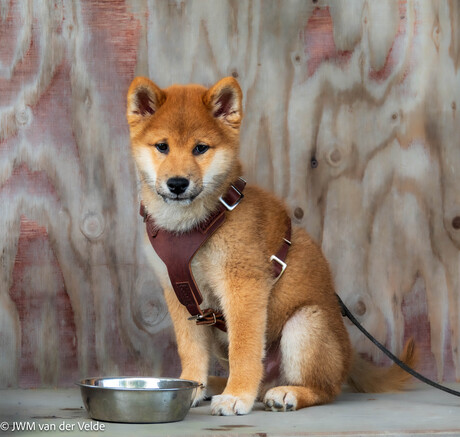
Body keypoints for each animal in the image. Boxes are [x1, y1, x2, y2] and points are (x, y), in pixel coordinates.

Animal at [126, 76, 416, 414]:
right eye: (162, 146)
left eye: (200, 148)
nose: (177, 183)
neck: (190, 226)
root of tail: (349, 354)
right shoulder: (180, 295)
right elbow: (191, 349)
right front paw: (192, 385)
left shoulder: (243, 287)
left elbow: (244, 350)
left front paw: (237, 395)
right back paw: (214, 385)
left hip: (305, 323)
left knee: (326, 388)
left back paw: (287, 393)